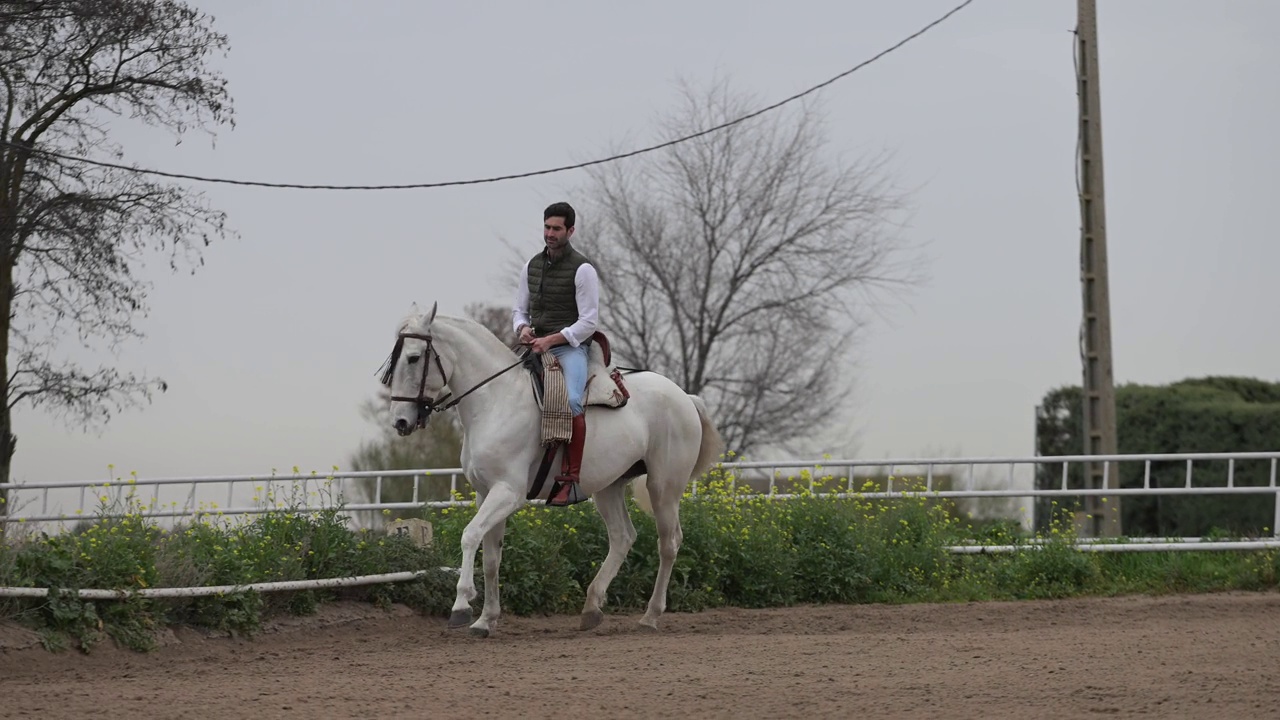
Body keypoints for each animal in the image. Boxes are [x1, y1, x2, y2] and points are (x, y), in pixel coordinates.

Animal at [378, 301, 727, 632]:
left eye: (413, 358)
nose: (400, 421)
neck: (496, 401)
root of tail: (684, 396)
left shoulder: (508, 493)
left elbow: (469, 535)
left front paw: (462, 606)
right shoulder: (485, 493)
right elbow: (491, 558)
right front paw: (485, 620)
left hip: (664, 487)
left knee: (668, 543)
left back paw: (650, 616)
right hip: (608, 488)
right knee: (622, 537)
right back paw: (592, 608)